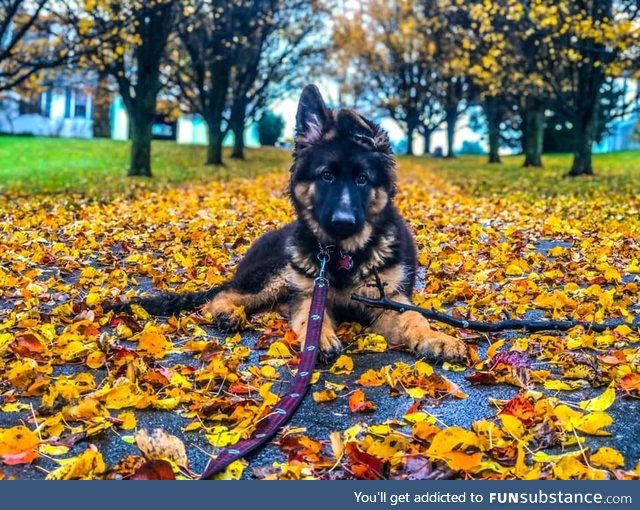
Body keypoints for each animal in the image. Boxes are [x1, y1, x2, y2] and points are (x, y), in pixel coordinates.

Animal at [110, 84, 464, 362]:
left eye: (362, 179)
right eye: (326, 176)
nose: (343, 222)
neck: (342, 256)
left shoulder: (387, 299)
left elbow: (414, 319)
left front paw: (438, 338)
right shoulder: (308, 292)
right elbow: (308, 316)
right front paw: (320, 338)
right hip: (277, 275)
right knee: (222, 296)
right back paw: (226, 312)